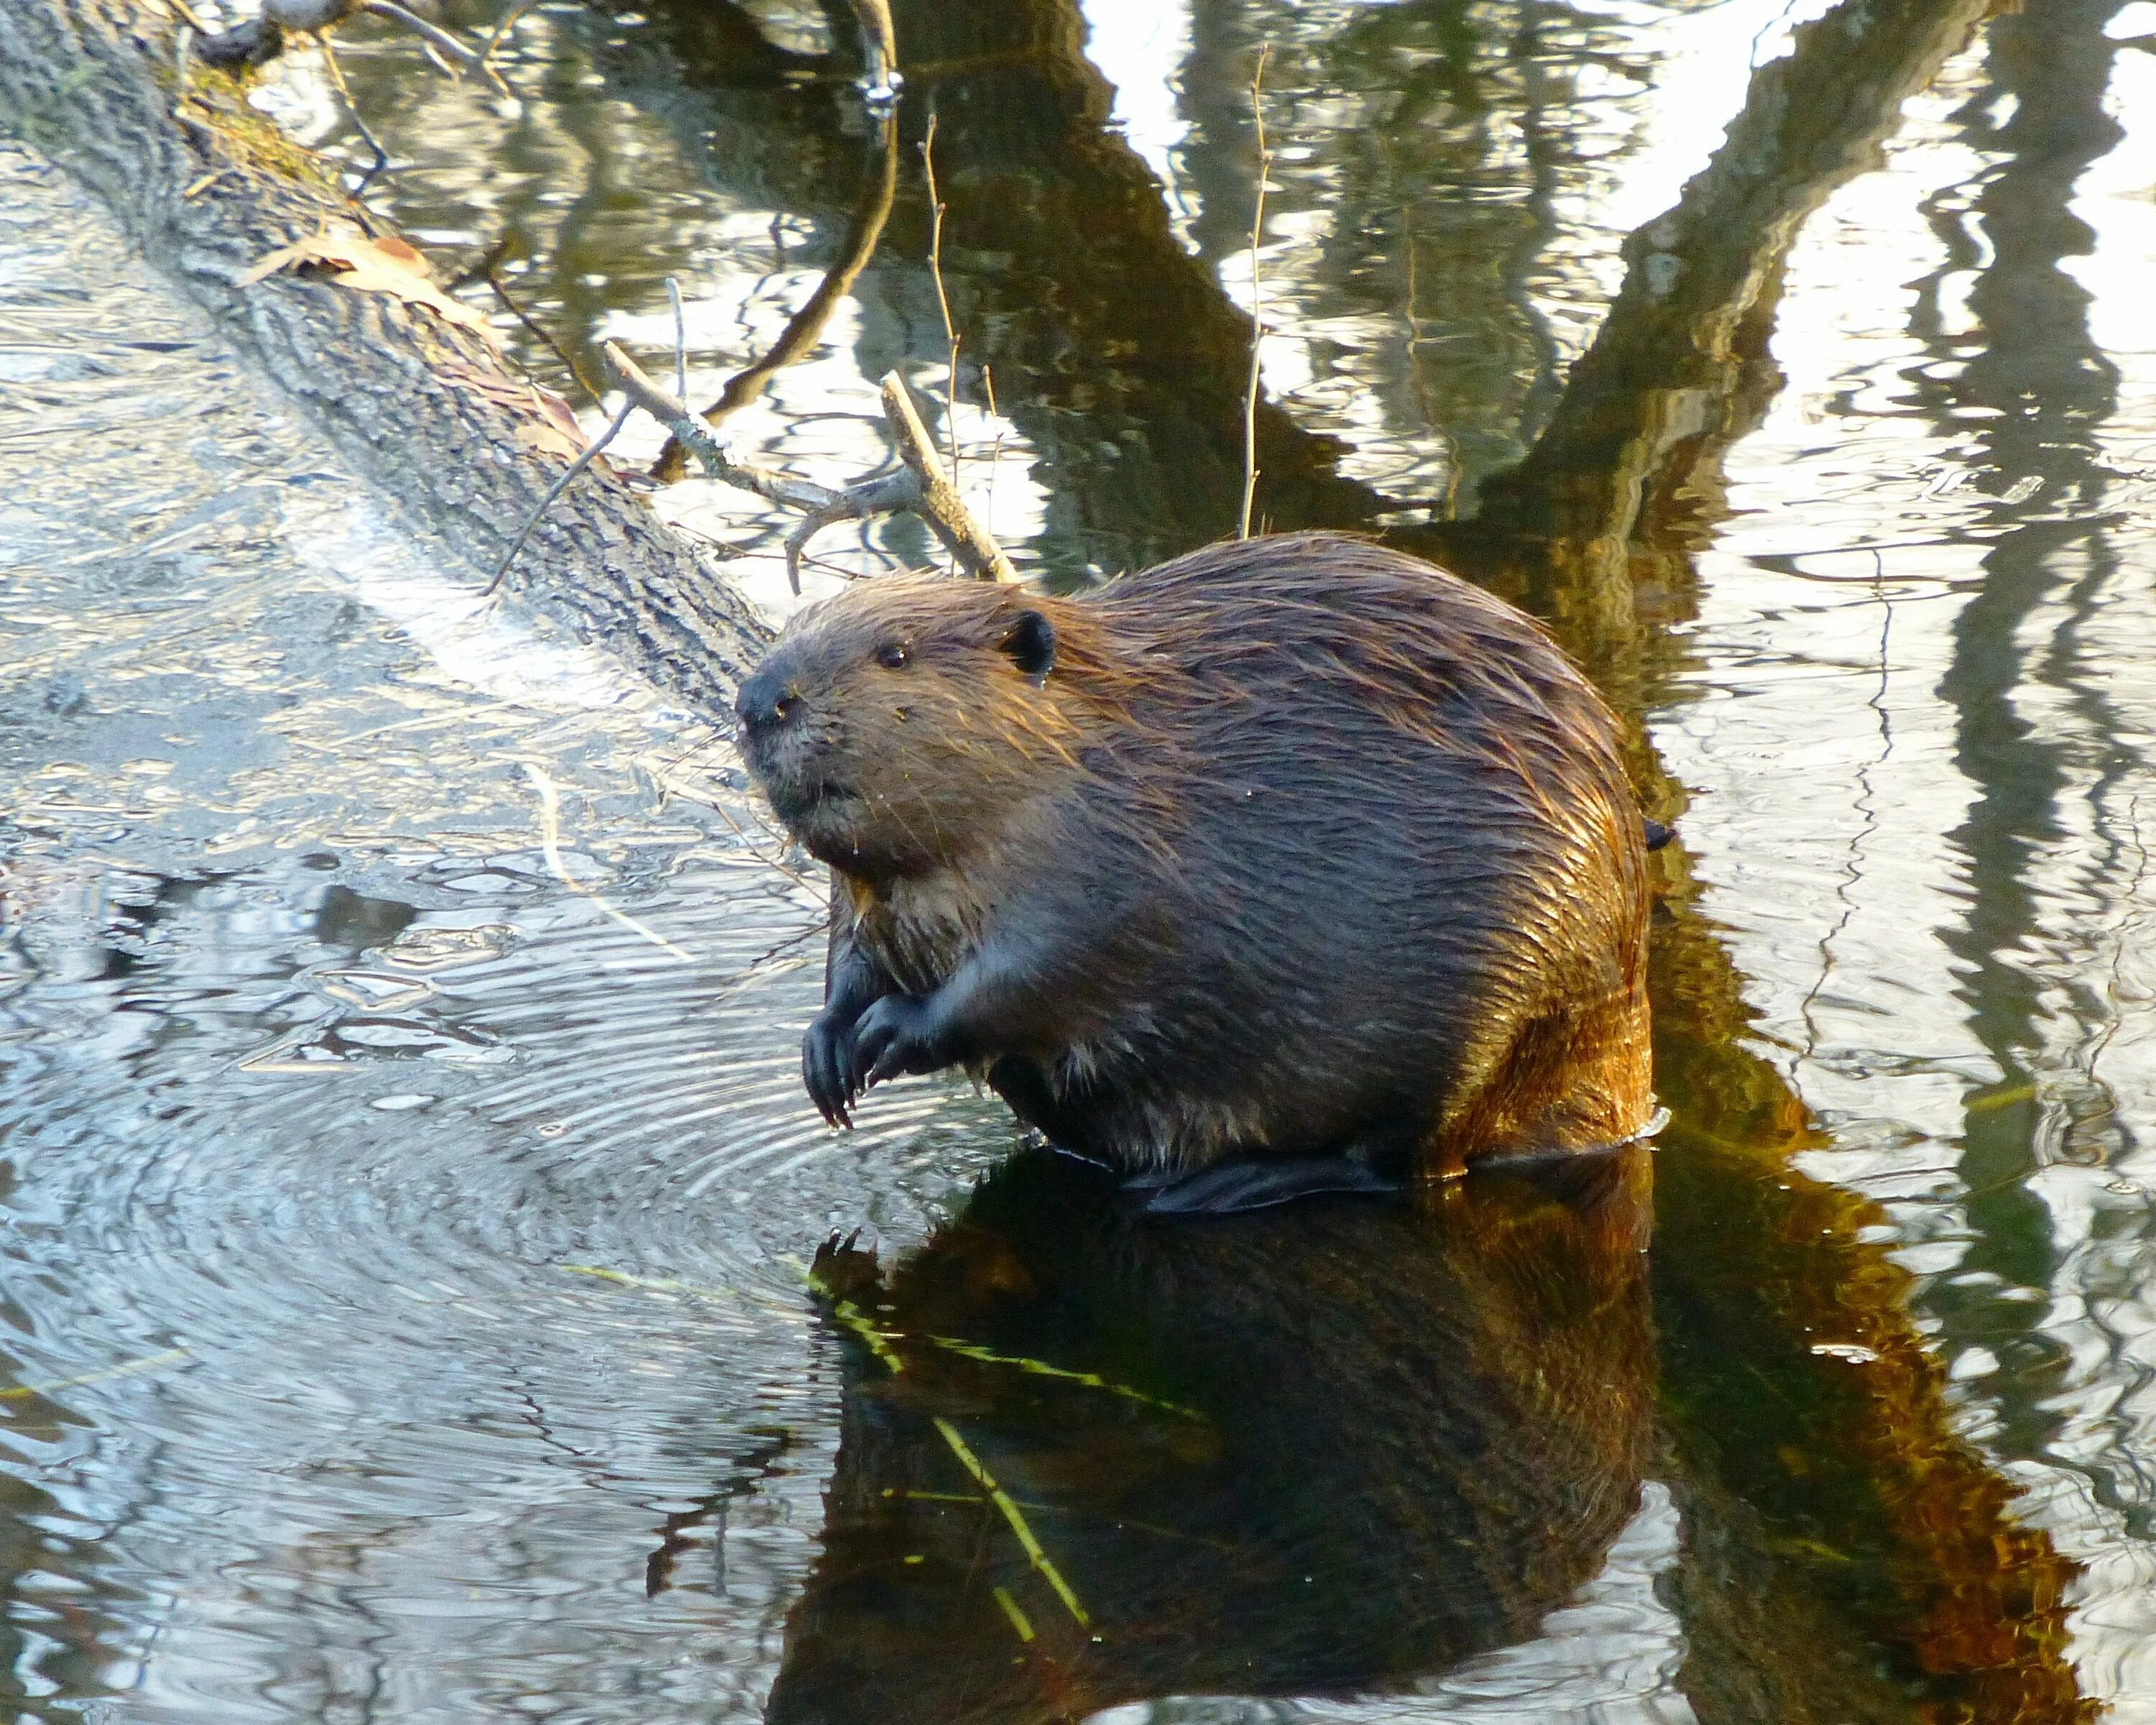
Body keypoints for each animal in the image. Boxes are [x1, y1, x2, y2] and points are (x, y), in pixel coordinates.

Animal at [733, 528, 1656, 1216]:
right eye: (788, 634)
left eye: (894, 654)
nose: (758, 701)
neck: (1097, 745)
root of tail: (1634, 1092)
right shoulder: (871, 892)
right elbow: (851, 951)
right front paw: (826, 1049)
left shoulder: (1114, 858)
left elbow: (1038, 972)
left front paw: (893, 1030)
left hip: (1508, 996)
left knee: (1415, 1160)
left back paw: (1228, 1184)